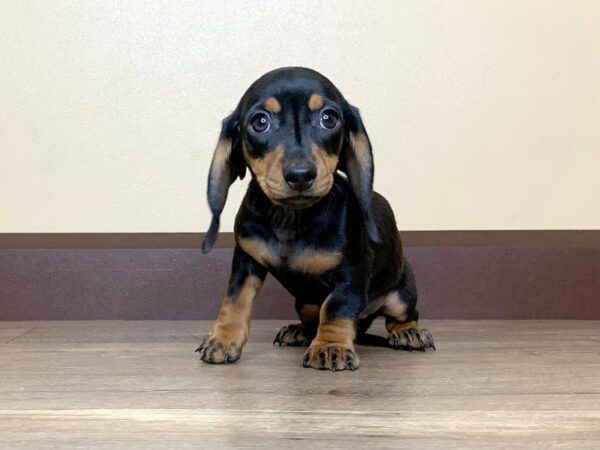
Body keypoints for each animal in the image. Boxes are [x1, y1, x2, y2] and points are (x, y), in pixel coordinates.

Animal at [199, 66, 434, 370]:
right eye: (260, 122)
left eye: (329, 119)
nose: (300, 175)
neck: (291, 219)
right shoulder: (246, 260)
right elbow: (235, 300)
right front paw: (223, 339)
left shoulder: (352, 272)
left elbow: (335, 308)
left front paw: (331, 347)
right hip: (304, 302)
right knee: (311, 318)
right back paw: (299, 331)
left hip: (401, 293)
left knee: (401, 316)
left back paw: (409, 333)